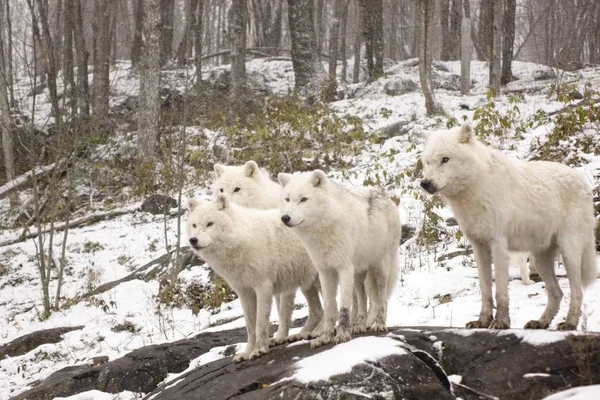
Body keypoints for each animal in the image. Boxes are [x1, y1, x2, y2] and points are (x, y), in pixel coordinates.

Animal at [186, 195, 324, 360]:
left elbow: (260, 323)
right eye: (194, 225)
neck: (241, 239)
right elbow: (250, 326)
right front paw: (246, 353)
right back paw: (303, 334)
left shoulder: (263, 287)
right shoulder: (244, 292)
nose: (193, 240)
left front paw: (259, 349)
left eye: (210, 223)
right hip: (307, 284)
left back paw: (319, 331)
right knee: (318, 311)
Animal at [278, 170, 400, 348]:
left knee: (382, 298)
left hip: (380, 269)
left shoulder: (344, 269)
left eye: (303, 199)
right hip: (358, 275)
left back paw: (379, 324)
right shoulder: (325, 271)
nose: (285, 218)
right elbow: (329, 307)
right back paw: (360, 325)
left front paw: (342, 335)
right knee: (362, 300)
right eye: (287, 199)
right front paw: (325, 337)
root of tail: (385, 194)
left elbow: (343, 306)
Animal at [420, 123, 596, 330]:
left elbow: (500, 292)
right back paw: (541, 322)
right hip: (540, 259)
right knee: (557, 293)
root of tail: (583, 181)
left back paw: (569, 323)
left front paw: (501, 322)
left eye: (445, 159)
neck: (477, 186)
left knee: (577, 291)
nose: (425, 183)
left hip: (569, 252)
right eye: (427, 162)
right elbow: (485, 291)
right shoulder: (479, 247)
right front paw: (482, 321)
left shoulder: (498, 245)